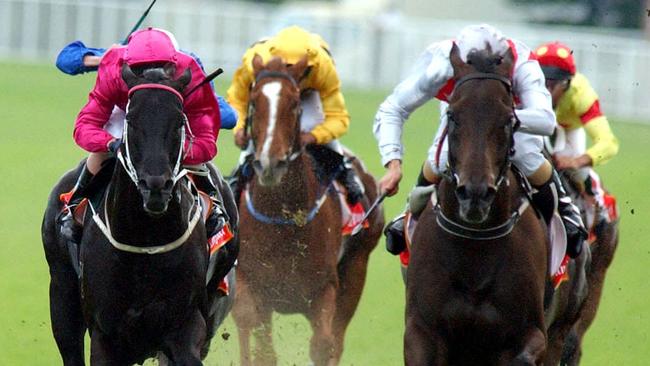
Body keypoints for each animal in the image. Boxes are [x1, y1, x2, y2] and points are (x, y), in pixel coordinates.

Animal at [41, 63, 237, 364]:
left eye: (179, 122)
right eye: (131, 121)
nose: (155, 186)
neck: (145, 241)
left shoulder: (186, 327)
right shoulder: (106, 335)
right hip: (62, 296)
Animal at [232, 55, 382, 366]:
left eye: (294, 104)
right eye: (254, 102)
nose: (270, 163)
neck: (282, 220)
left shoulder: (324, 290)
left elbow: (324, 345)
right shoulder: (254, 284)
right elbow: (258, 342)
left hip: (356, 269)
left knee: (336, 341)